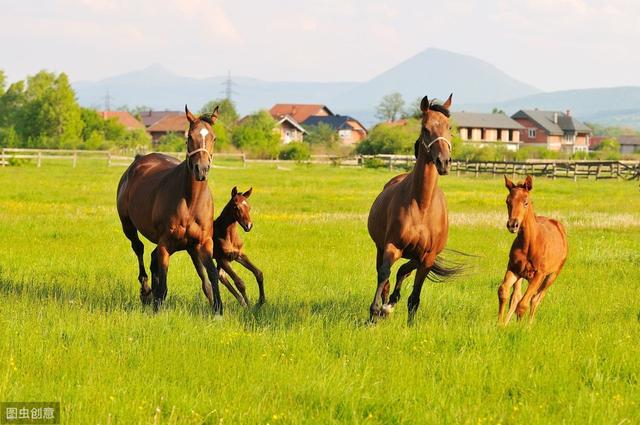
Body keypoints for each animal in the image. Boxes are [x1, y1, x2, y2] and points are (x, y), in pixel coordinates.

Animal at [116, 105, 224, 314]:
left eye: (214, 138)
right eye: (190, 136)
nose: (201, 169)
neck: (190, 202)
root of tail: (138, 161)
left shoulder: (203, 242)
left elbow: (212, 275)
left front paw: (218, 309)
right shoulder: (165, 244)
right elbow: (164, 282)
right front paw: (157, 305)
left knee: (152, 258)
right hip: (128, 226)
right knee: (139, 249)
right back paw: (146, 291)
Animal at [364, 93, 460, 322]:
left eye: (449, 127)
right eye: (425, 128)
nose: (444, 162)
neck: (422, 206)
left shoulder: (427, 257)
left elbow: (414, 297)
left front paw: (408, 321)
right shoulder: (392, 246)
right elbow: (384, 275)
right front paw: (374, 313)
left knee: (403, 271)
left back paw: (391, 303)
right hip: (380, 247)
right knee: (386, 275)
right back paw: (385, 306)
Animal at [498, 174, 568, 322]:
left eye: (526, 202)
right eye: (507, 201)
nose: (513, 225)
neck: (529, 245)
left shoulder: (539, 274)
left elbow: (523, 304)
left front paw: (520, 327)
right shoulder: (513, 269)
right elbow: (503, 292)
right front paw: (499, 324)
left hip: (552, 276)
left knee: (536, 299)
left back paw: (529, 324)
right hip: (523, 275)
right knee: (516, 296)